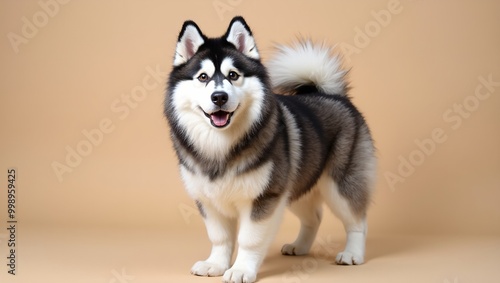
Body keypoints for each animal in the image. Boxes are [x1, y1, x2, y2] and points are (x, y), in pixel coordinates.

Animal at [164, 16, 376, 283]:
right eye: (203, 77)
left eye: (233, 75)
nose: (219, 97)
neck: (221, 145)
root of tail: (332, 95)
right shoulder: (208, 200)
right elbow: (220, 237)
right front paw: (216, 264)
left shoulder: (263, 198)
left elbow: (249, 239)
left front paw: (242, 269)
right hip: (295, 187)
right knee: (315, 217)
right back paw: (300, 246)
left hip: (340, 185)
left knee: (358, 220)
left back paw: (352, 254)